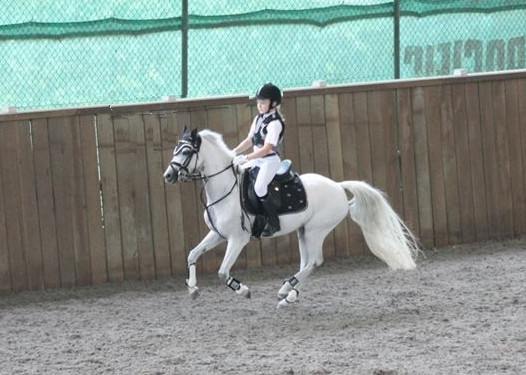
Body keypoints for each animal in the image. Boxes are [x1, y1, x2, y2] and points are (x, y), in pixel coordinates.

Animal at [163, 129, 418, 308]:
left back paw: (287, 291)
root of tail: (338, 186)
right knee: (306, 263)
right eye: (176, 149)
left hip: (316, 231)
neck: (226, 188)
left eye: (186, 152)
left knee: (314, 261)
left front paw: (243, 290)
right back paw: (288, 294)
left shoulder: (238, 239)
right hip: (303, 231)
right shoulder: (218, 234)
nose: (168, 175)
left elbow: (223, 272)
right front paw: (193, 289)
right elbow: (192, 254)